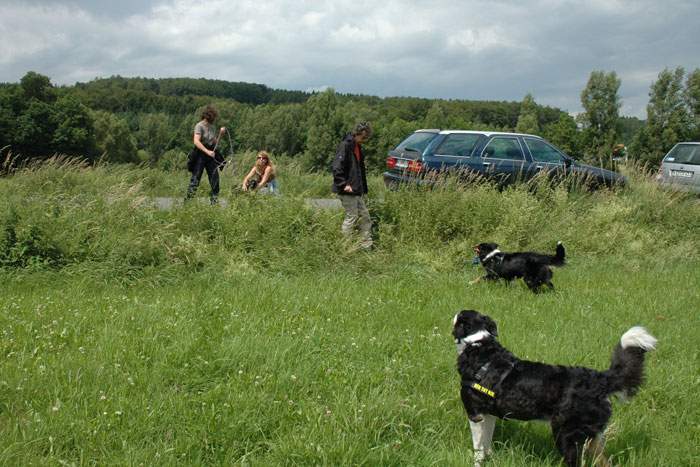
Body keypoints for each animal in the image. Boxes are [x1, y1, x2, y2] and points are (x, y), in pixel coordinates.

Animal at [454, 310, 656, 467]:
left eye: (459, 316)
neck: (478, 345)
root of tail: (599, 379)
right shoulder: (490, 415)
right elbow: (487, 444)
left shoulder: (475, 414)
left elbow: (478, 448)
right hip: (591, 438)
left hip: (566, 435)